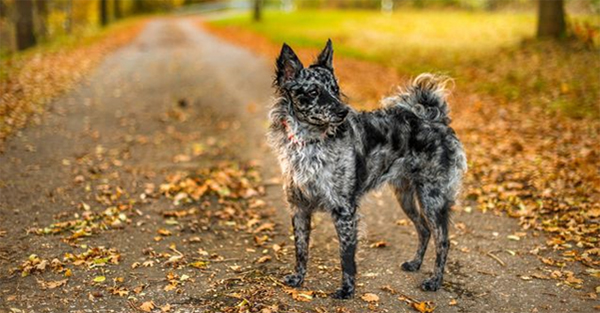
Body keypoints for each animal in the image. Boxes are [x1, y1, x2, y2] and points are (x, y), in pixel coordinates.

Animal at [268, 40, 468, 298]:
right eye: (313, 92)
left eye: (335, 89)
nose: (343, 111)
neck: (311, 142)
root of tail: (435, 119)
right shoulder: (299, 207)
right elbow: (301, 249)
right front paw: (298, 278)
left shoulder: (344, 210)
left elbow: (346, 255)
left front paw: (347, 290)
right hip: (406, 196)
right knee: (424, 230)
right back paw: (415, 264)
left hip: (432, 199)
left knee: (442, 240)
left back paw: (435, 281)